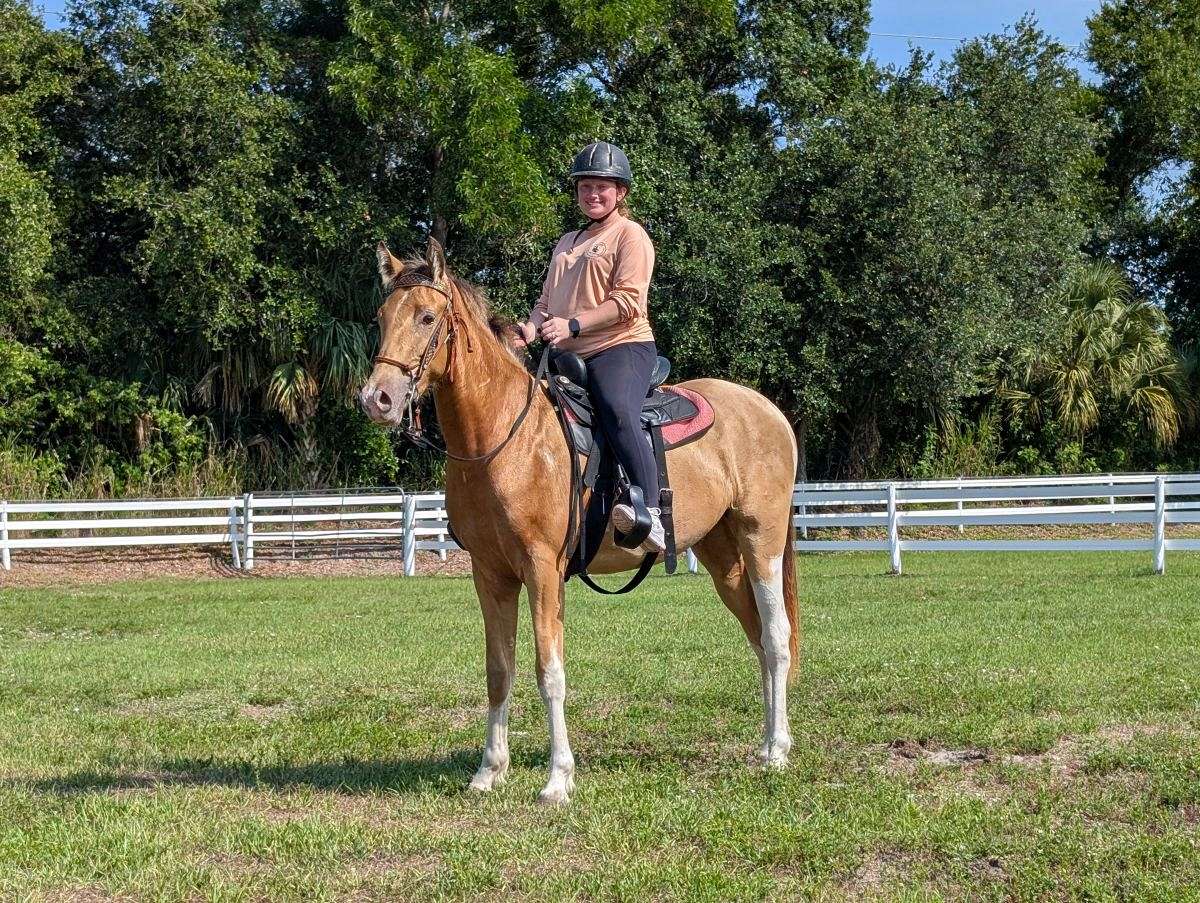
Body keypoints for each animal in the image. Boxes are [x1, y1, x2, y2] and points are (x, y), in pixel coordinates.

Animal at [359, 237, 799, 804]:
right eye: (381, 316)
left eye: (427, 316)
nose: (377, 399)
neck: (504, 437)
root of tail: (769, 411)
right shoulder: (491, 574)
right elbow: (499, 669)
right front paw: (488, 771)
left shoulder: (542, 569)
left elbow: (549, 671)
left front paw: (557, 779)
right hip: (722, 555)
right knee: (757, 637)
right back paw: (765, 746)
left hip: (761, 541)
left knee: (777, 637)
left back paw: (780, 751)